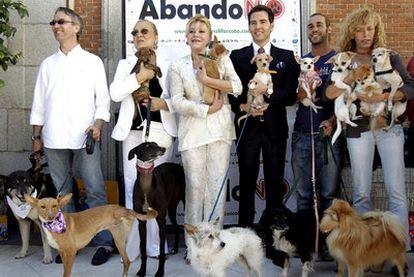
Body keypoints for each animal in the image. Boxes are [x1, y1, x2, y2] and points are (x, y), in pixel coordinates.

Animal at [24, 192, 157, 276]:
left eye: (55, 205)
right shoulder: (62, 252)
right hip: (119, 240)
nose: (51, 216)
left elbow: (66, 273)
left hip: (119, 229)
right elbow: (65, 270)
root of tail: (126, 209)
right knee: (127, 261)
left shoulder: (71, 252)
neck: (55, 225)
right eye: (42, 207)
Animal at [126, 142, 184, 276]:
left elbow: (162, 250)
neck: (146, 186)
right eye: (147, 146)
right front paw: (142, 270)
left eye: (156, 143)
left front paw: (160, 272)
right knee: (177, 228)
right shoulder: (141, 221)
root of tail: (177, 165)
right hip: (171, 208)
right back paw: (175, 249)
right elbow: (143, 250)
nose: (163, 148)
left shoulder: (161, 220)